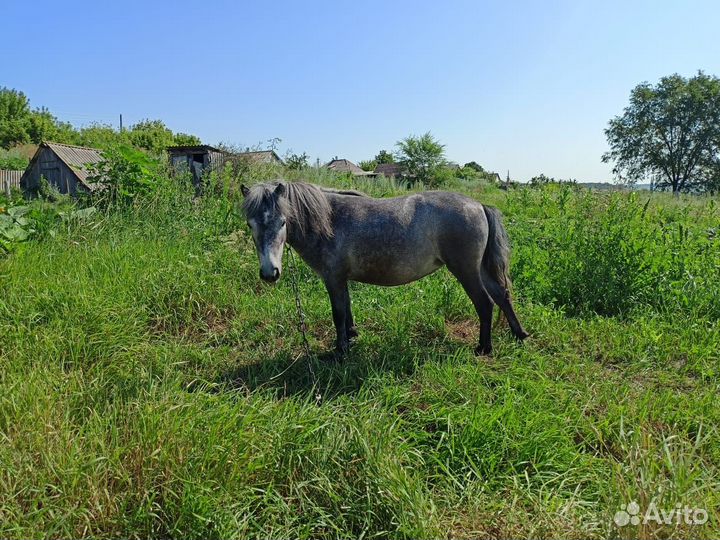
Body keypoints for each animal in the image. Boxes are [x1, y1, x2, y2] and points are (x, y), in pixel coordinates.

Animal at [240, 181, 529, 356]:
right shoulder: (342, 280)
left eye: (282, 222)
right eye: (250, 224)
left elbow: (338, 314)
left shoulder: (333, 279)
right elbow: (347, 310)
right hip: (479, 269)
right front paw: (351, 338)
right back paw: (519, 334)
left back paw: (484, 348)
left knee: (485, 303)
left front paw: (340, 352)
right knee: (502, 296)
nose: (269, 273)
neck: (329, 221)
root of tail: (478, 205)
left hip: (466, 271)